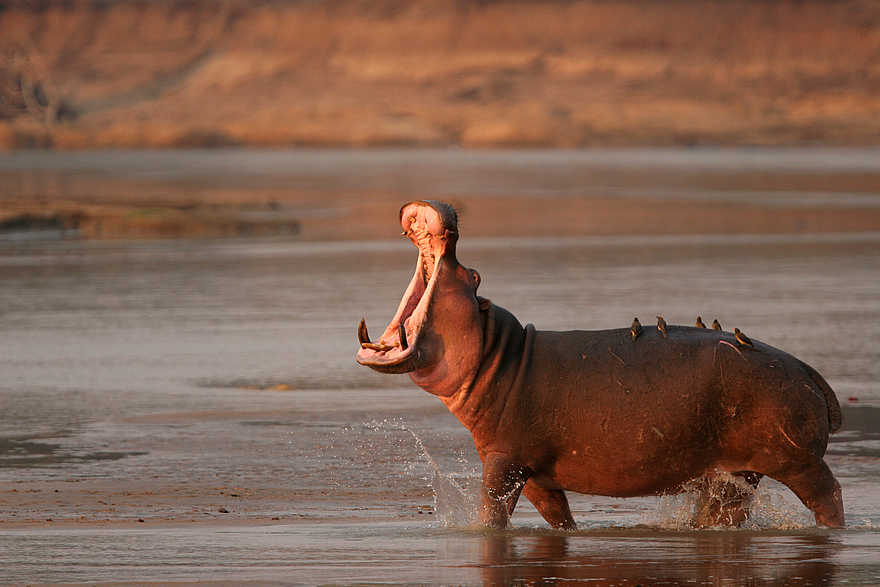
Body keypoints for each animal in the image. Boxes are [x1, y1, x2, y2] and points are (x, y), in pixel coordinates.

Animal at [356, 200, 844, 529]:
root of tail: (808, 369)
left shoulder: (503, 461)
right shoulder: (536, 473)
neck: (497, 354)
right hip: (736, 471)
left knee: (829, 494)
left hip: (796, 460)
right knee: (726, 510)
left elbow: (492, 514)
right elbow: (559, 518)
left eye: (472, 275)